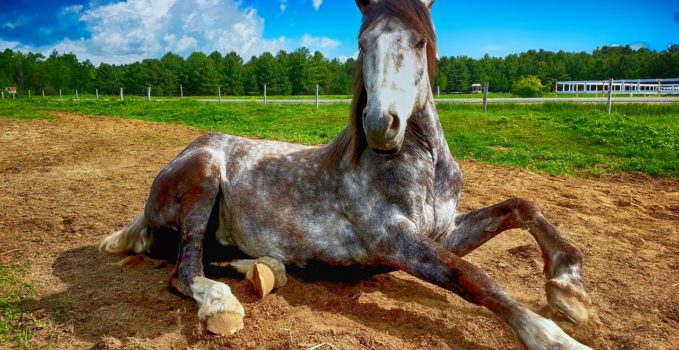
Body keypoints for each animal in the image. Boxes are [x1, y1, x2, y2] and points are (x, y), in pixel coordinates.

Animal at [98, 0, 592, 348]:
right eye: (362, 43)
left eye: (419, 41)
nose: (379, 125)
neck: (423, 166)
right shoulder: (392, 240)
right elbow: (472, 276)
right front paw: (553, 337)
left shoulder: (442, 231)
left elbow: (521, 208)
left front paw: (569, 290)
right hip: (203, 176)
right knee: (185, 270)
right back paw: (223, 303)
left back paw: (264, 269)